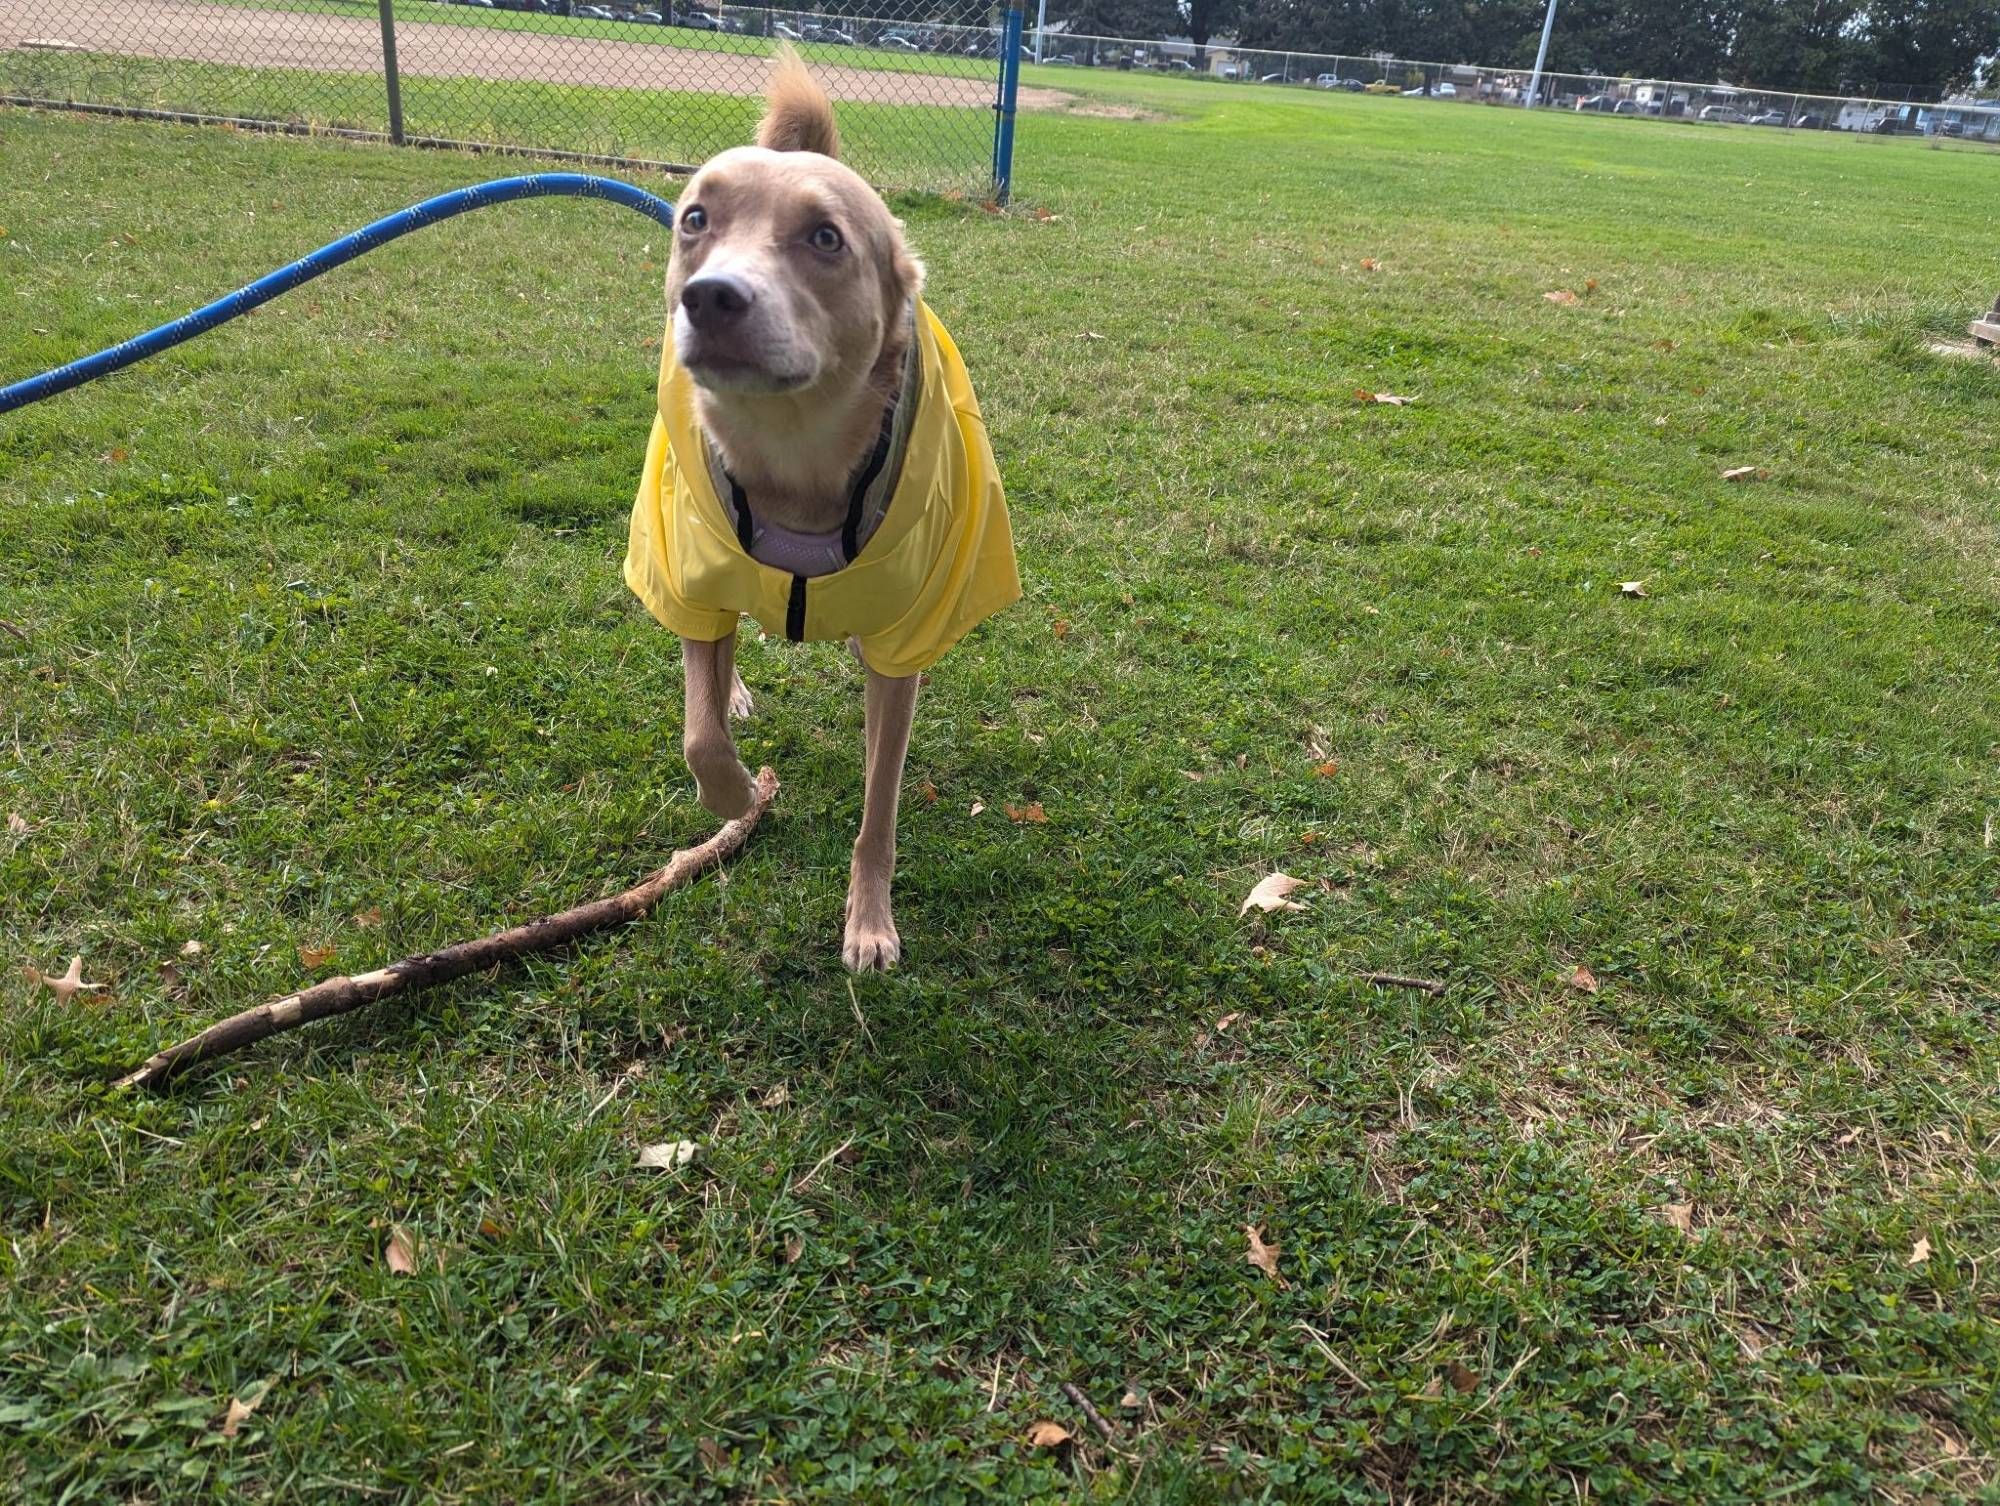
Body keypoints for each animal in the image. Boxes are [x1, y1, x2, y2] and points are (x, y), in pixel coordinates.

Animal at [624, 53, 1024, 968]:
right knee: (716, 651)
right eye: (694, 218)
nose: (711, 297)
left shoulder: (905, 644)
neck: (794, 453)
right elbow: (700, 730)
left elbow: (881, 802)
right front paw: (737, 792)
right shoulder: (689, 572)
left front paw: (869, 919)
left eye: (826, 239)